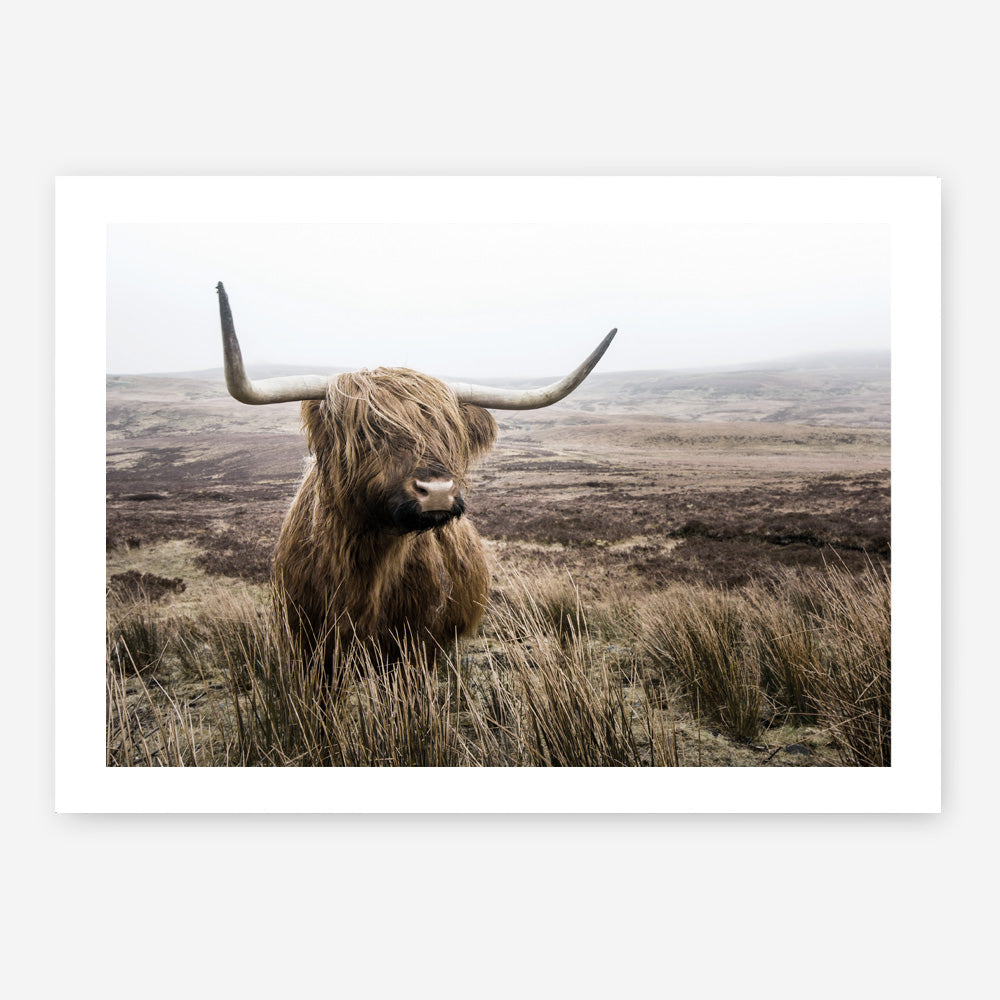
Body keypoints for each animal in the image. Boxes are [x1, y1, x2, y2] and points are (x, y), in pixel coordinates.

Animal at [215, 282, 615, 669]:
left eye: (450, 434)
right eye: (367, 433)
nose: (437, 491)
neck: (366, 566)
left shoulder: (417, 645)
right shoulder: (306, 645)